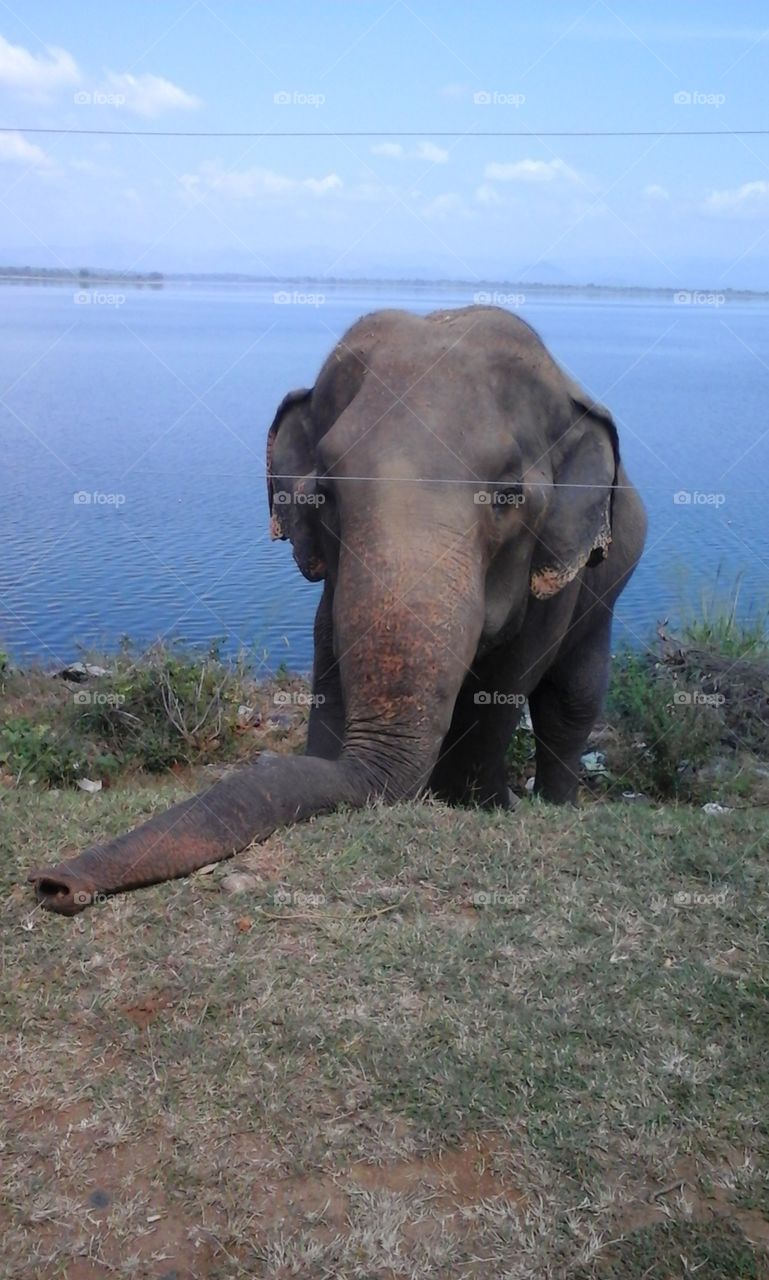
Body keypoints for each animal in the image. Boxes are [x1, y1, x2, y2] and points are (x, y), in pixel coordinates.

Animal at [30, 304, 642, 916]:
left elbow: (509, 678)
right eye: (324, 493)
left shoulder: (559, 570)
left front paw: (481, 805)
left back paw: (554, 802)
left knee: (571, 700)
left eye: (510, 496)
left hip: (606, 593)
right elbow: (328, 651)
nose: (53, 884)